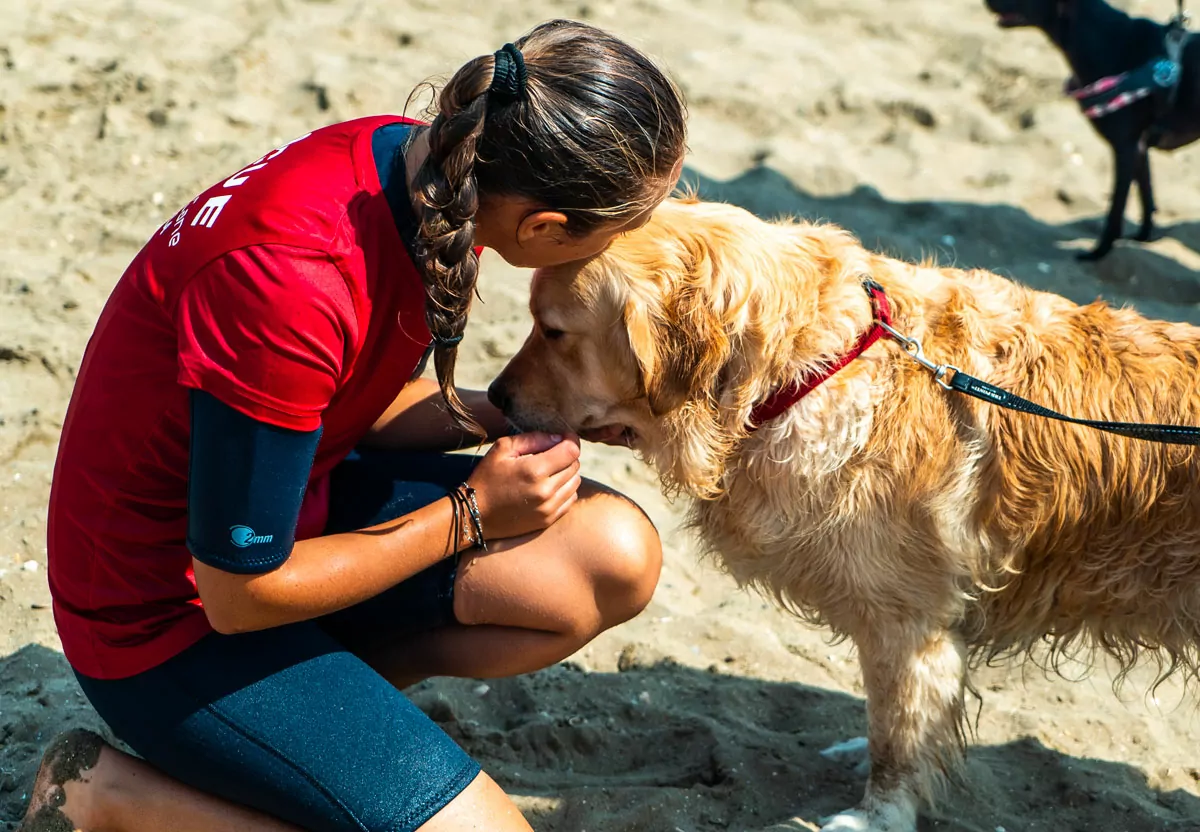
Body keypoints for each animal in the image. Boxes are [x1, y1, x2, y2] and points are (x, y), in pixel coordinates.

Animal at [984, 0, 1200, 259]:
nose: (984, 2)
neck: (1101, 38)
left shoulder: (1125, 148)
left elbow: (1116, 208)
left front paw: (1099, 252)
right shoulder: (1138, 148)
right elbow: (1146, 196)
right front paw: (1143, 237)